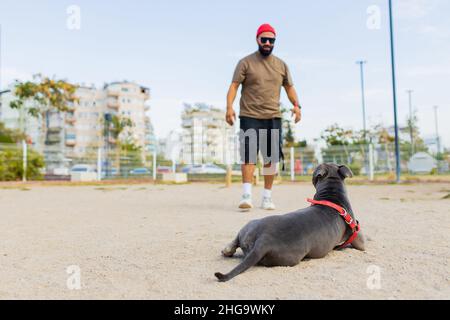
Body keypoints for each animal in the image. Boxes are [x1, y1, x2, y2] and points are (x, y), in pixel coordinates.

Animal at [214, 164, 366, 282]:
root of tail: (264, 241)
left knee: (236, 240)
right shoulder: (357, 236)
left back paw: (227, 250)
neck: (332, 196)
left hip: (250, 225)